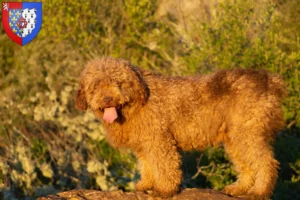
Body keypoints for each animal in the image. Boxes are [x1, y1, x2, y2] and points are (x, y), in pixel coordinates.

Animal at [75, 57, 286, 199]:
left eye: (118, 83)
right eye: (95, 86)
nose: (107, 99)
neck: (135, 103)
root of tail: (271, 81)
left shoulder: (159, 140)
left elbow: (164, 165)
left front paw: (164, 189)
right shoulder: (144, 145)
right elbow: (147, 165)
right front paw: (146, 184)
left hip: (248, 135)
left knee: (266, 162)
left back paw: (259, 191)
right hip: (235, 139)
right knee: (246, 166)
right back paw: (238, 189)